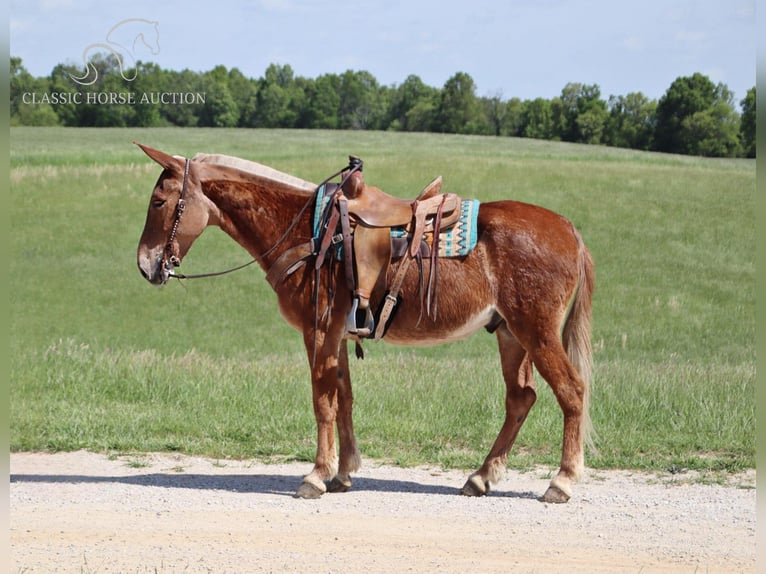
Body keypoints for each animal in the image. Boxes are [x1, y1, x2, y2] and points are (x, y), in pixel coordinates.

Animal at [135, 143, 596, 504]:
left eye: (158, 202)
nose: (146, 265)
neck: (309, 231)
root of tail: (569, 229)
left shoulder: (318, 331)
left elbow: (322, 401)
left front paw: (316, 476)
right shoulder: (338, 334)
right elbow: (344, 397)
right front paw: (342, 473)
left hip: (536, 331)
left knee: (572, 392)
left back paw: (561, 482)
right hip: (509, 334)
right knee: (521, 398)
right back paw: (481, 477)